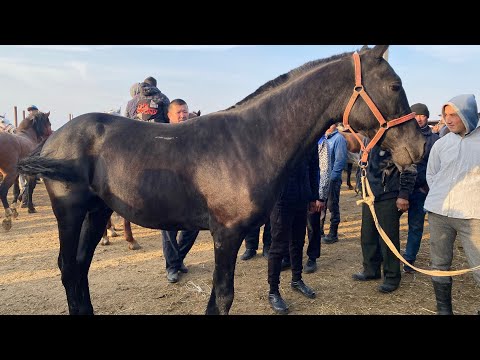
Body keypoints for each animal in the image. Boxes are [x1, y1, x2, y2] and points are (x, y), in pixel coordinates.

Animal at [17, 45, 424, 316]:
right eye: (394, 85)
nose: (417, 146)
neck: (250, 141)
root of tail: (54, 138)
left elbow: (218, 296)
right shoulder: (226, 233)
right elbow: (224, 296)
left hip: (98, 211)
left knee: (80, 267)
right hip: (70, 213)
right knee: (69, 267)